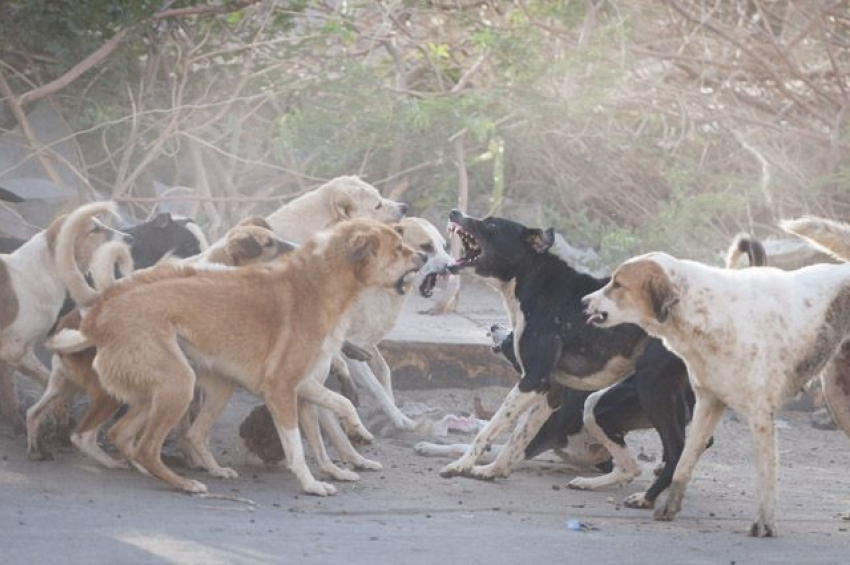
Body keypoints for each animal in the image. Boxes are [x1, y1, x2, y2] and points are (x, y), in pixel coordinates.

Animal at [48, 217, 420, 494]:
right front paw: (312, 483)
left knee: (131, 434)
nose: (421, 255)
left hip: (177, 391)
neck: (318, 285)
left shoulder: (304, 391)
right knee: (145, 445)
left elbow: (326, 428)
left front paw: (340, 460)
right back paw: (184, 483)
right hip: (178, 384)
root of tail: (97, 316)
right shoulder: (280, 389)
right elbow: (299, 446)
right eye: (398, 249)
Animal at [580, 221, 848, 536]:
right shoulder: (708, 403)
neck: (707, 312)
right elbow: (683, 461)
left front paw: (764, 524)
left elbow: (764, 476)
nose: (583, 301)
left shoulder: (760, 415)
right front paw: (668, 507)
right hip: (838, 399)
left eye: (618, 284)